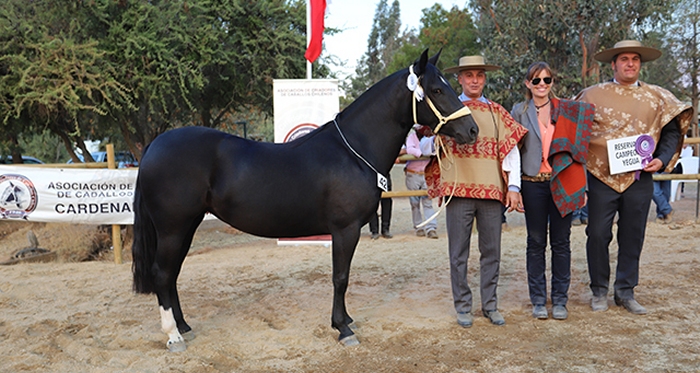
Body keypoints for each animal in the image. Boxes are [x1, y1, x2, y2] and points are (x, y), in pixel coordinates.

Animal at [130, 48, 482, 348]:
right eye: (436, 90)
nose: (472, 130)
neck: (353, 150)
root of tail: (154, 146)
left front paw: (346, 320)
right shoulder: (345, 229)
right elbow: (340, 277)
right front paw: (343, 329)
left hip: (186, 226)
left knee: (172, 274)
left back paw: (184, 326)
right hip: (173, 227)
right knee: (162, 273)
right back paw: (173, 336)